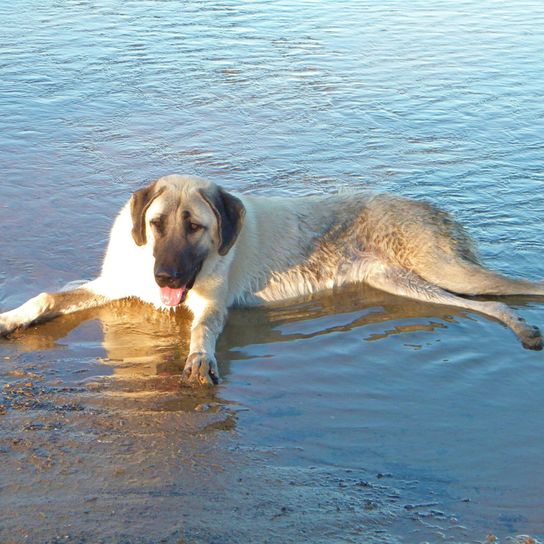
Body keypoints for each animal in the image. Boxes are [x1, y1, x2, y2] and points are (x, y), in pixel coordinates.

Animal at [1, 174, 544, 382]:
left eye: (195, 227)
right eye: (155, 225)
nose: (165, 274)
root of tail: (430, 207)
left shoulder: (210, 305)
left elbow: (202, 329)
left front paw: (199, 358)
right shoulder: (113, 285)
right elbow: (48, 295)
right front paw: (11, 317)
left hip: (446, 269)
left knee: (512, 290)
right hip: (401, 281)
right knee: (489, 304)